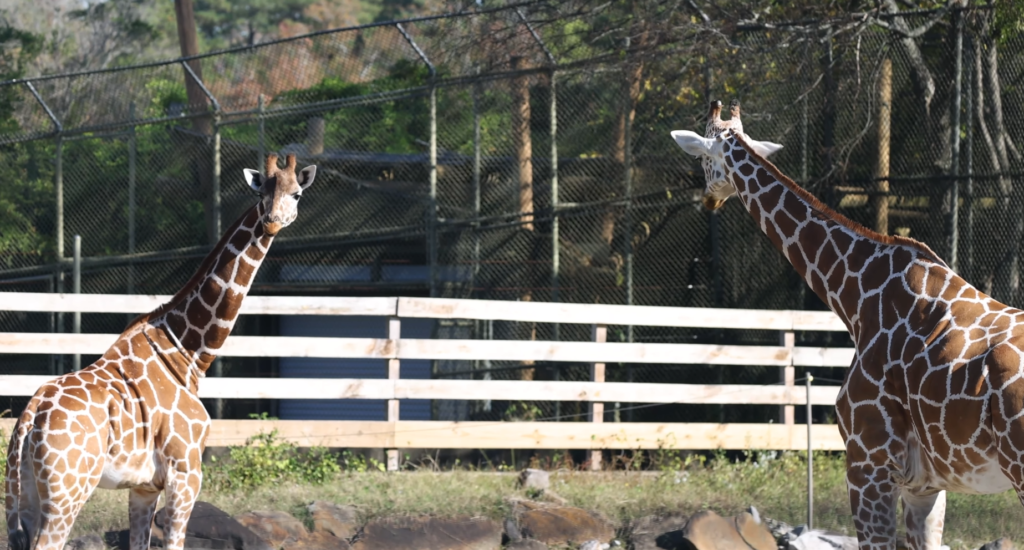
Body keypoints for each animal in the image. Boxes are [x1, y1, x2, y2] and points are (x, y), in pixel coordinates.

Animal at [4, 154, 316, 550]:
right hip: (68, 492)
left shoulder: (144, 487)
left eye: (296, 193)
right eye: (262, 193)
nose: (272, 220)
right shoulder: (186, 471)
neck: (186, 353)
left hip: (22, 494)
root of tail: (29, 417)